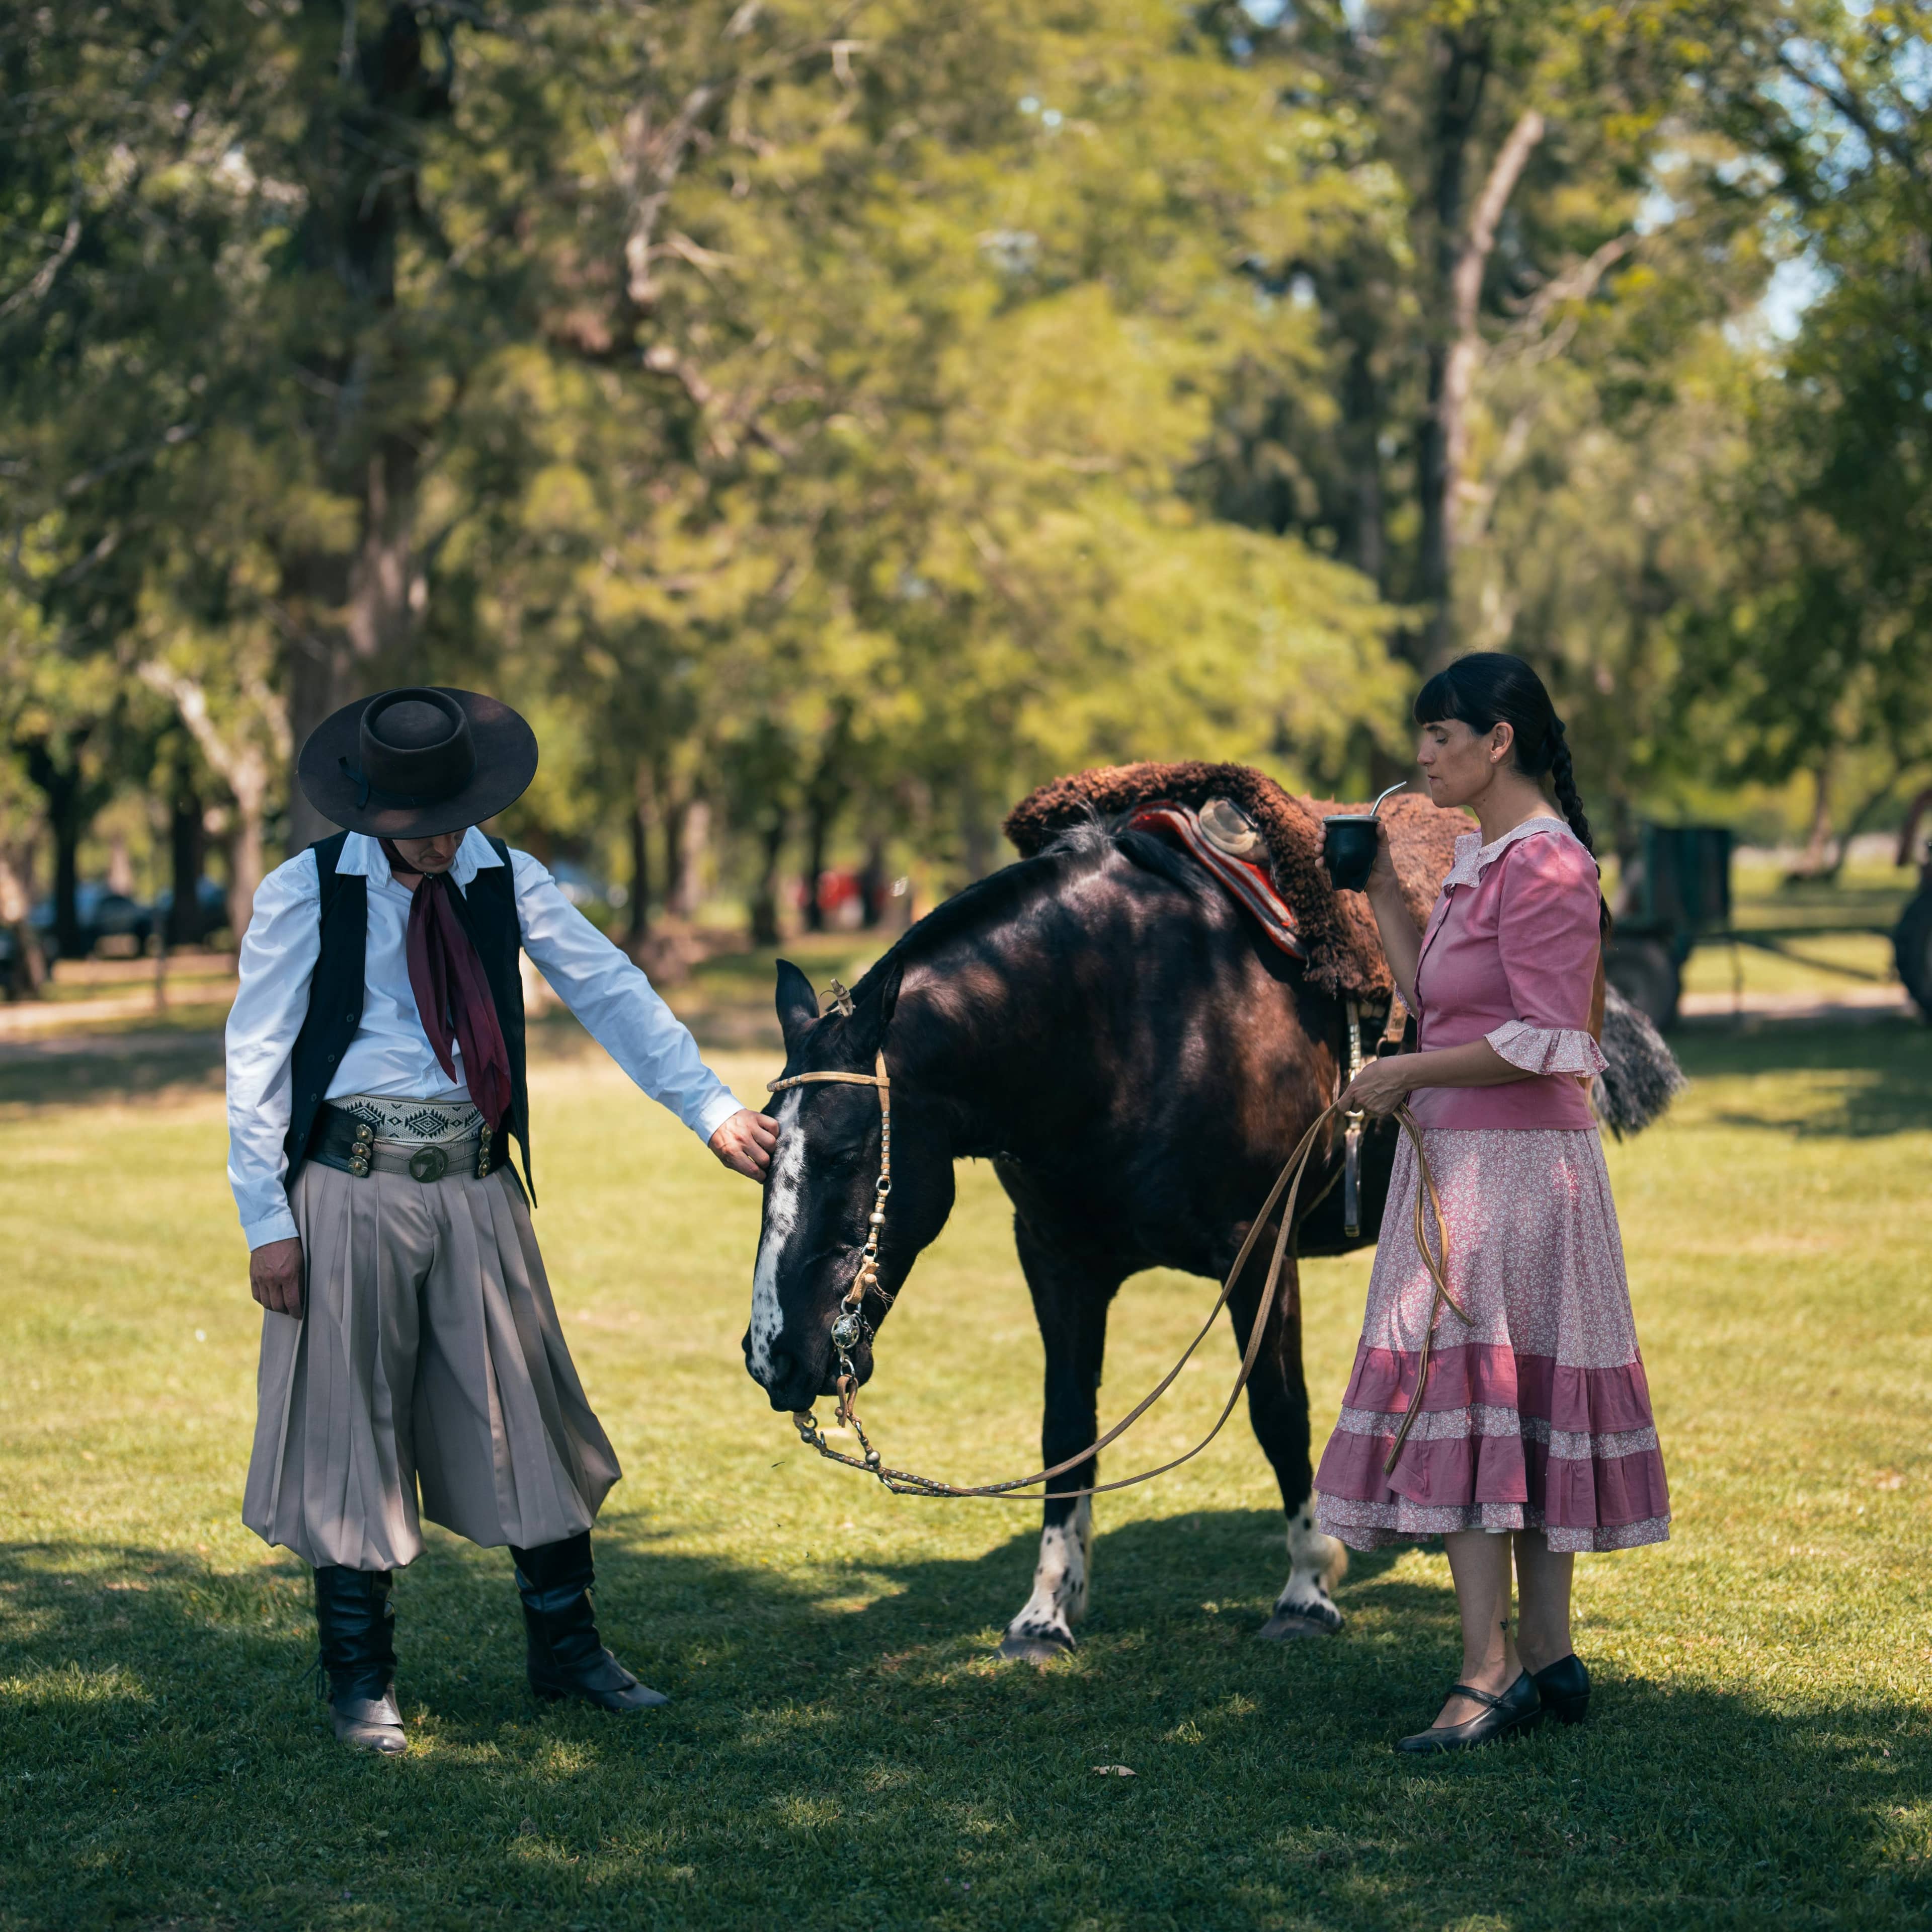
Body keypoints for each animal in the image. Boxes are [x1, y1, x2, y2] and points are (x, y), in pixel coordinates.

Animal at [743, 814, 1399, 1658]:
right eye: (760, 1155)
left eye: (847, 1153)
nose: (774, 1356)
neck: (1141, 1018)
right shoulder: (1057, 1258)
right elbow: (1066, 1429)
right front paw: (1047, 1608)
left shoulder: (1261, 1251)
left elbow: (1278, 1411)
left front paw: (1309, 1588)